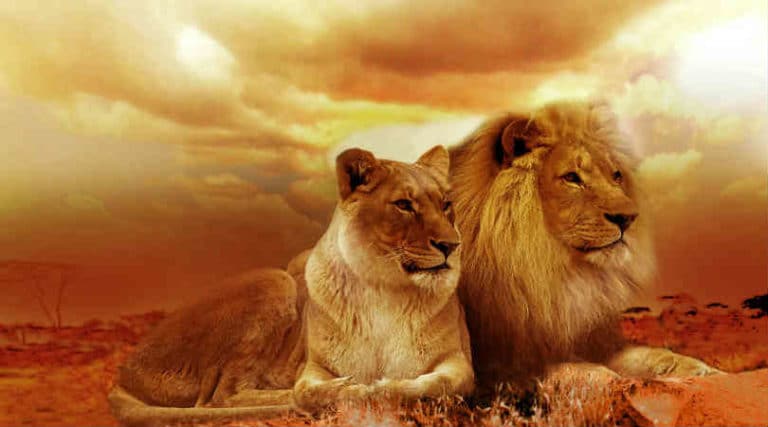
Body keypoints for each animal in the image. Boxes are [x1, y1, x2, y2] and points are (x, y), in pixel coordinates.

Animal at [294, 145, 474, 410]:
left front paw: (384, 389)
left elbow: (439, 383)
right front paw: (353, 390)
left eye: (446, 204)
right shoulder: (313, 366)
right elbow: (306, 392)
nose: (451, 245)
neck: (383, 287)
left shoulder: (457, 359)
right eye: (404, 205)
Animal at [448, 100, 721, 388]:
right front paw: (610, 381)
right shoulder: (498, 367)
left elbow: (651, 355)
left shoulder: (597, 343)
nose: (628, 217)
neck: (552, 274)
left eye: (616, 176)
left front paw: (702, 369)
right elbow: (570, 367)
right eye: (572, 178)